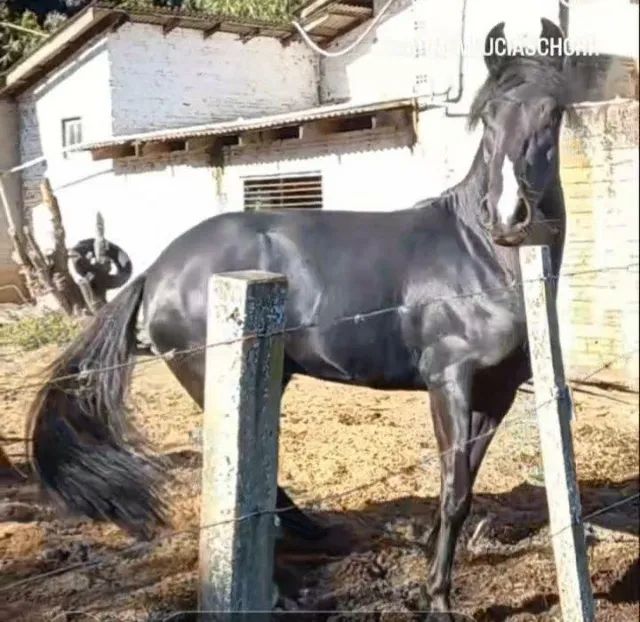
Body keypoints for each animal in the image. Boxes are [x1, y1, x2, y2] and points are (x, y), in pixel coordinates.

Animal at [27, 18, 571, 615]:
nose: (510, 215)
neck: (477, 255)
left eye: (553, 111)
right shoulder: (448, 381)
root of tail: (157, 267)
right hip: (212, 378)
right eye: (488, 115)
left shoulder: (498, 392)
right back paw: (281, 587)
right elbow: (454, 489)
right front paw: (438, 598)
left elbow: (463, 482)